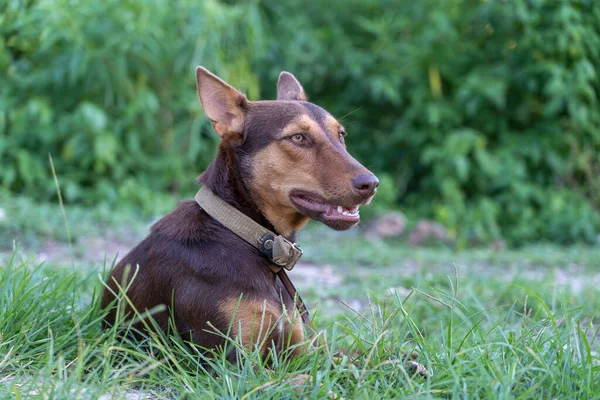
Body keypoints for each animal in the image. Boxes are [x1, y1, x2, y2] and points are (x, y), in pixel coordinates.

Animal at [101, 66, 378, 362]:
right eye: (298, 138)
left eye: (341, 135)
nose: (371, 184)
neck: (254, 239)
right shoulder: (232, 362)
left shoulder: (300, 351)